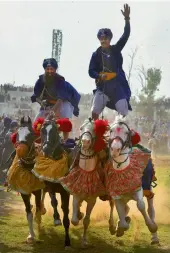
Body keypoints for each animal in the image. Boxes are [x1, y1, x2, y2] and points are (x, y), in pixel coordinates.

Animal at [59, 118, 117, 247]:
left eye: (94, 129)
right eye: (81, 128)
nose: (85, 141)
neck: (86, 172)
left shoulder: (92, 200)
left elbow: (86, 220)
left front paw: (84, 241)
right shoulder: (76, 194)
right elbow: (74, 220)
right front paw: (78, 214)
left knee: (112, 203)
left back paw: (112, 226)